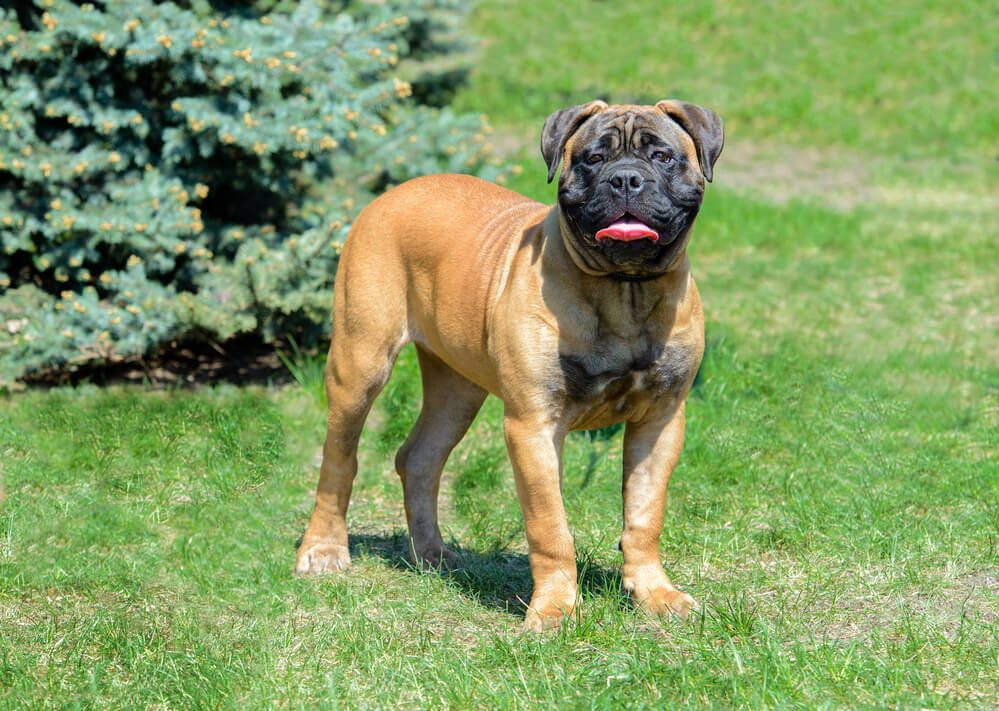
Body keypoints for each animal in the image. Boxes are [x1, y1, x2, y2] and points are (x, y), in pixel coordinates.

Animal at [292, 100, 724, 636]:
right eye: (593, 158)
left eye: (662, 156)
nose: (625, 179)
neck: (624, 289)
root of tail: (393, 192)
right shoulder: (533, 426)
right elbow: (549, 525)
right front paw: (556, 609)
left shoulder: (660, 421)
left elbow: (645, 515)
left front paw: (655, 594)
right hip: (360, 362)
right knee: (339, 460)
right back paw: (323, 550)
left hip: (456, 389)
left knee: (419, 458)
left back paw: (432, 555)